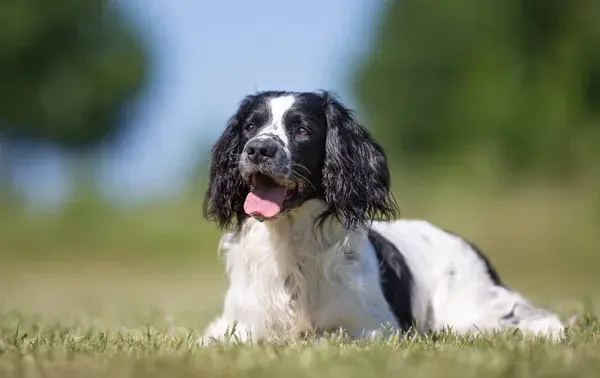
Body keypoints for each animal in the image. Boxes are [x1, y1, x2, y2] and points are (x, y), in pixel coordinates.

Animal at [202, 89, 568, 342]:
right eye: (250, 126)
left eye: (302, 130)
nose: (258, 149)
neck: (289, 244)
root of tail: (467, 244)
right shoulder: (233, 327)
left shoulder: (374, 330)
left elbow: (323, 338)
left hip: (468, 312)